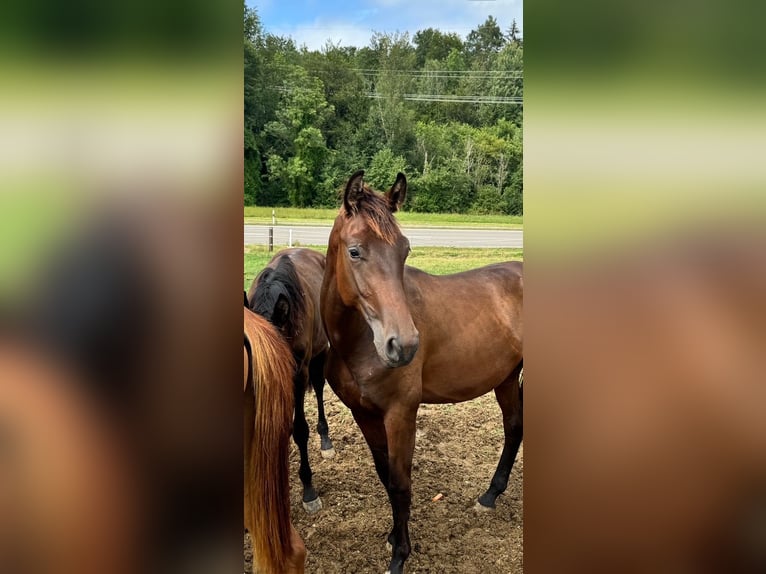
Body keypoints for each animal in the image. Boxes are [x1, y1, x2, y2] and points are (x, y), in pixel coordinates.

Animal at [247, 248, 334, 514]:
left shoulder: (298, 375)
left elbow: (300, 430)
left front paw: (308, 490)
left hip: (320, 354)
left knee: (319, 388)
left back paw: (325, 440)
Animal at [320, 171, 523, 574]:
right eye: (355, 251)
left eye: (405, 250)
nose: (404, 345)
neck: (358, 341)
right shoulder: (364, 413)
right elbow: (386, 477)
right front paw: (392, 537)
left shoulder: (401, 413)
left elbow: (401, 484)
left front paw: (400, 555)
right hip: (507, 379)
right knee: (513, 428)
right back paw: (489, 496)